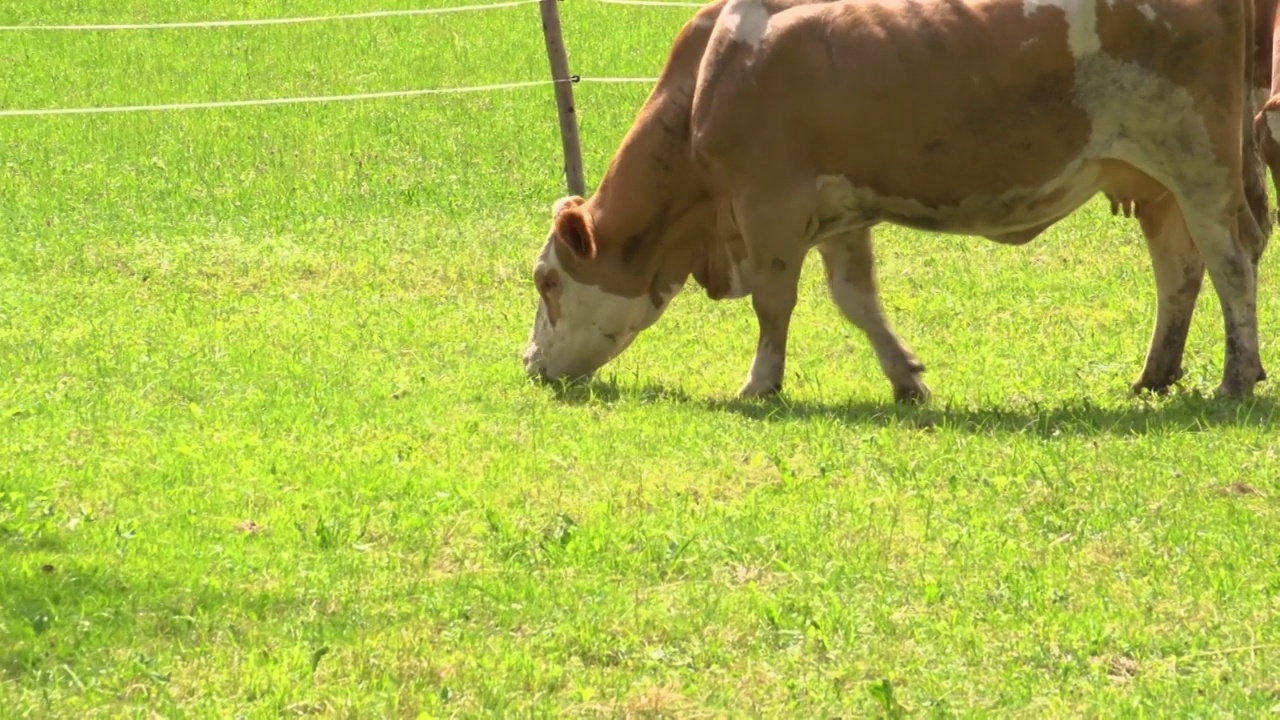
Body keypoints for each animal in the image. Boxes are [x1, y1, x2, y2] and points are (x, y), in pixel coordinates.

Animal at [522, 0, 1269, 404]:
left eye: (546, 280)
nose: (528, 363)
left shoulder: (768, 205)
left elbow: (773, 303)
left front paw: (761, 382)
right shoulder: (835, 213)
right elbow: (857, 300)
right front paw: (906, 377)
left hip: (1199, 161)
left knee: (1232, 263)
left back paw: (1238, 375)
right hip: (1155, 182)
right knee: (1179, 272)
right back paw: (1155, 374)